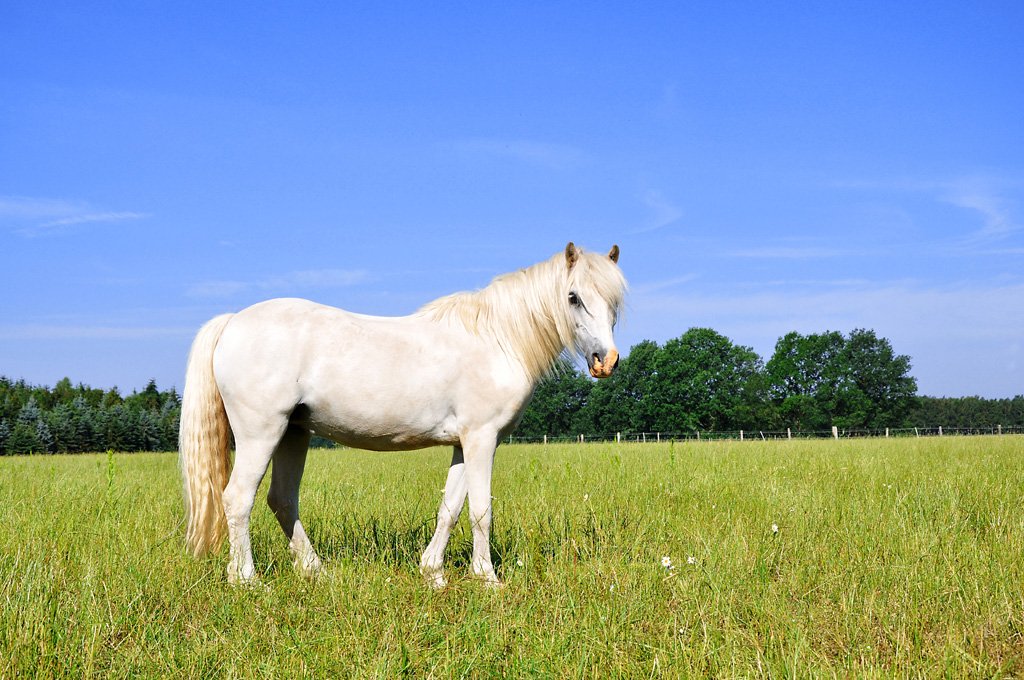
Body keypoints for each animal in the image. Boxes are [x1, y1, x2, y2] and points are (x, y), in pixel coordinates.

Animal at [181, 241, 626, 585]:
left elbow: (450, 508)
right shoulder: (482, 438)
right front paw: (488, 579)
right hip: (261, 434)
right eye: (573, 297)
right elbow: (481, 510)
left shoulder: (464, 443)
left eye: (614, 302)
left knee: (282, 499)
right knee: (238, 499)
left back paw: (315, 571)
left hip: (294, 433)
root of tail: (232, 322)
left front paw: (433, 573)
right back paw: (247, 580)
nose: (606, 361)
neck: (497, 339)